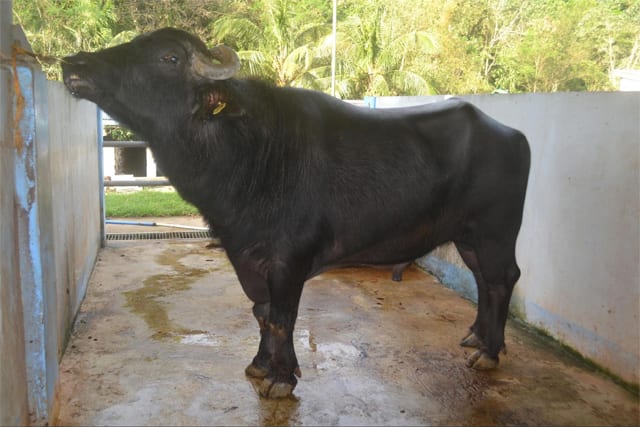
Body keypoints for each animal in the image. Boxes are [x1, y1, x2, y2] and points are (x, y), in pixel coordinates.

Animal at [62, 27, 530, 398]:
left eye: (169, 57)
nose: (73, 63)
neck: (249, 153)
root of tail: (512, 135)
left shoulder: (289, 260)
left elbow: (283, 317)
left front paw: (281, 377)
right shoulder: (244, 254)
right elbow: (262, 313)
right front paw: (259, 364)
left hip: (495, 233)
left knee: (502, 279)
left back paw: (490, 353)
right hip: (468, 237)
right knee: (484, 281)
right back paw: (476, 338)